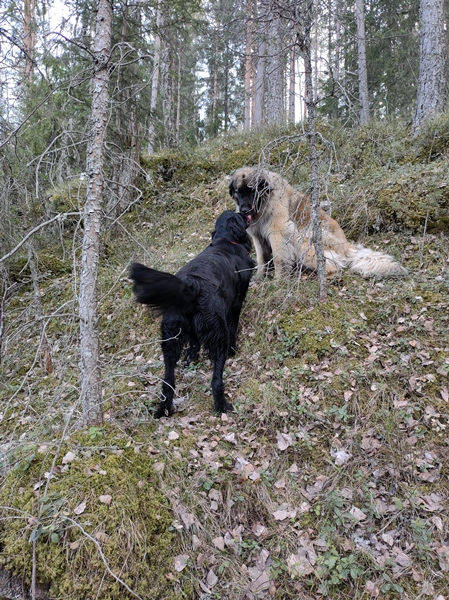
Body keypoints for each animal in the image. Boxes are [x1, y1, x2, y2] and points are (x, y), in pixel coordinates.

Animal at [131, 211, 254, 418]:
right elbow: (233, 326)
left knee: (168, 383)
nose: (246, 213)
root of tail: (191, 287)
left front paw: (191, 357)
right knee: (216, 379)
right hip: (217, 335)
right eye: (238, 215)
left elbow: (194, 342)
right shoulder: (236, 302)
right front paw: (234, 350)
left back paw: (164, 409)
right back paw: (222, 405)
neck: (225, 240)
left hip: (170, 339)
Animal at [229, 166, 408, 278]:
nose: (244, 210)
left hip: (305, 237)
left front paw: (279, 282)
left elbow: (279, 259)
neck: (264, 205)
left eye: (252, 191)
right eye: (239, 192)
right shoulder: (258, 236)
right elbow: (261, 259)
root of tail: (345, 245)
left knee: (332, 267)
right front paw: (260, 277)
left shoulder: (278, 232)